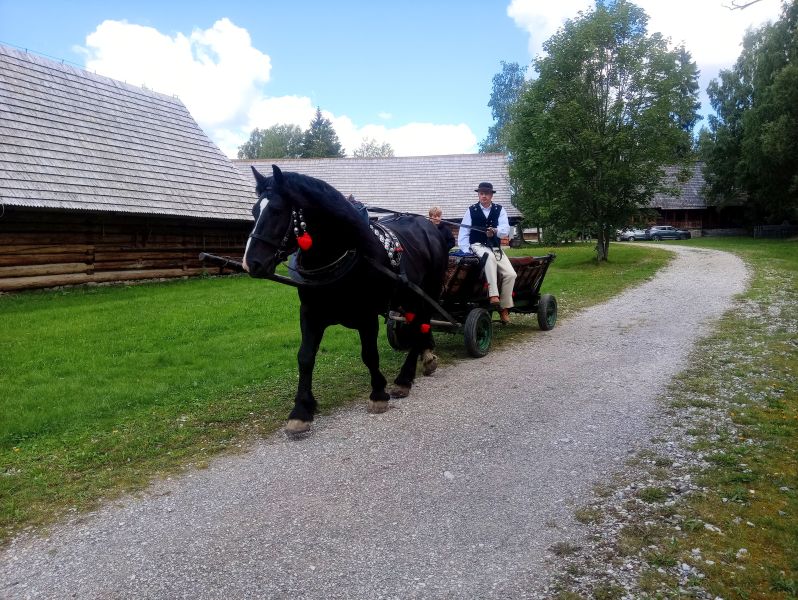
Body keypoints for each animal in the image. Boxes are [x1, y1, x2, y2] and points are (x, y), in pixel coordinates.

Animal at [242, 166, 450, 434]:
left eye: (277, 210)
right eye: (254, 211)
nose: (251, 263)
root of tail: (428, 226)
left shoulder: (366, 315)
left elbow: (369, 354)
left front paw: (378, 393)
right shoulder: (310, 313)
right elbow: (305, 357)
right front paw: (301, 410)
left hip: (428, 291)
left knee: (420, 326)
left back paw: (404, 378)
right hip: (409, 297)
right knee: (419, 326)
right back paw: (427, 356)